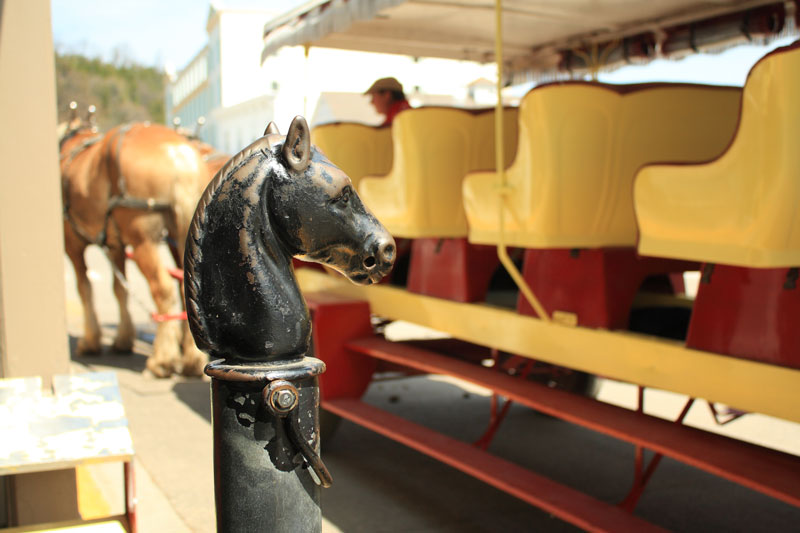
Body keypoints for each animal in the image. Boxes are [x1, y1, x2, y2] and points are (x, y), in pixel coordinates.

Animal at [61, 116, 211, 376]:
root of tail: (179, 153)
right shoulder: (115, 245)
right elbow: (118, 289)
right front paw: (122, 339)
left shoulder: (73, 244)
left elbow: (84, 288)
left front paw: (90, 341)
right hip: (182, 235)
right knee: (186, 286)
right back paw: (190, 359)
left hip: (143, 240)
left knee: (163, 289)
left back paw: (162, 359)